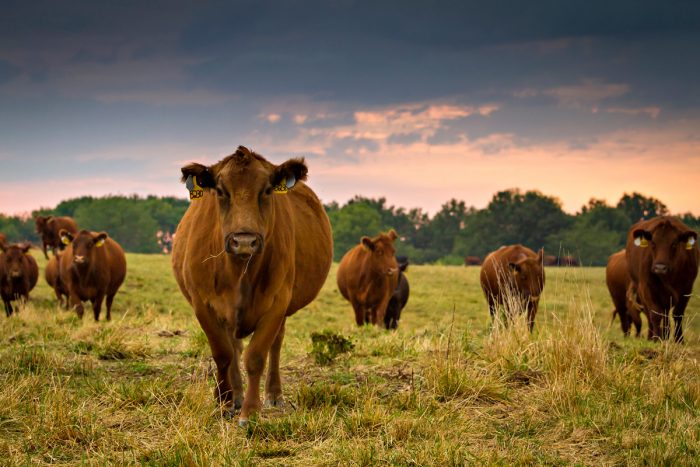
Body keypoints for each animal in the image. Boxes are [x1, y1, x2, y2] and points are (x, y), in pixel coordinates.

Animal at [171, 147, 332, 428]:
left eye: (267, 190)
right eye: (220, 190)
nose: (244, 241)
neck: (239, 272)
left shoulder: (277, 303)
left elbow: (256, 356)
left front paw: (250, 412)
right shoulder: (204, 305)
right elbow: (223, 354)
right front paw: (225, 402)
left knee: (275, 345)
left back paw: (274, 395)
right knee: (234, 347)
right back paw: (234, 394)